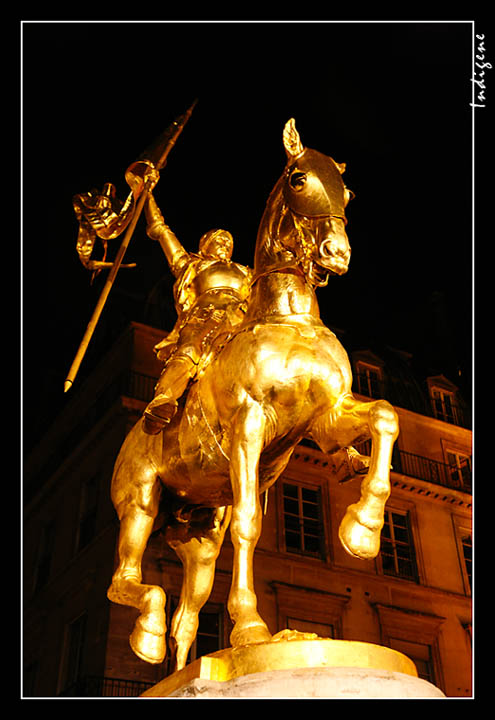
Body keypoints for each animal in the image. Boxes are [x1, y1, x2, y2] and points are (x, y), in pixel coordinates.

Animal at [107, 116, 400, 668]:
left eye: (347, 190)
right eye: (299, 179)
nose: (337, 254)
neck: (290, 317)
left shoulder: (325, 419)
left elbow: (385, 416)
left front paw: (362, 530)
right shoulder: (249, 423)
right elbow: (249, 523)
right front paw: (251, 630)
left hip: (199, 532)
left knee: (187, 614)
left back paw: (183, 665)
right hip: (141, 502)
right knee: (126, 580)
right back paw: (146, 636)